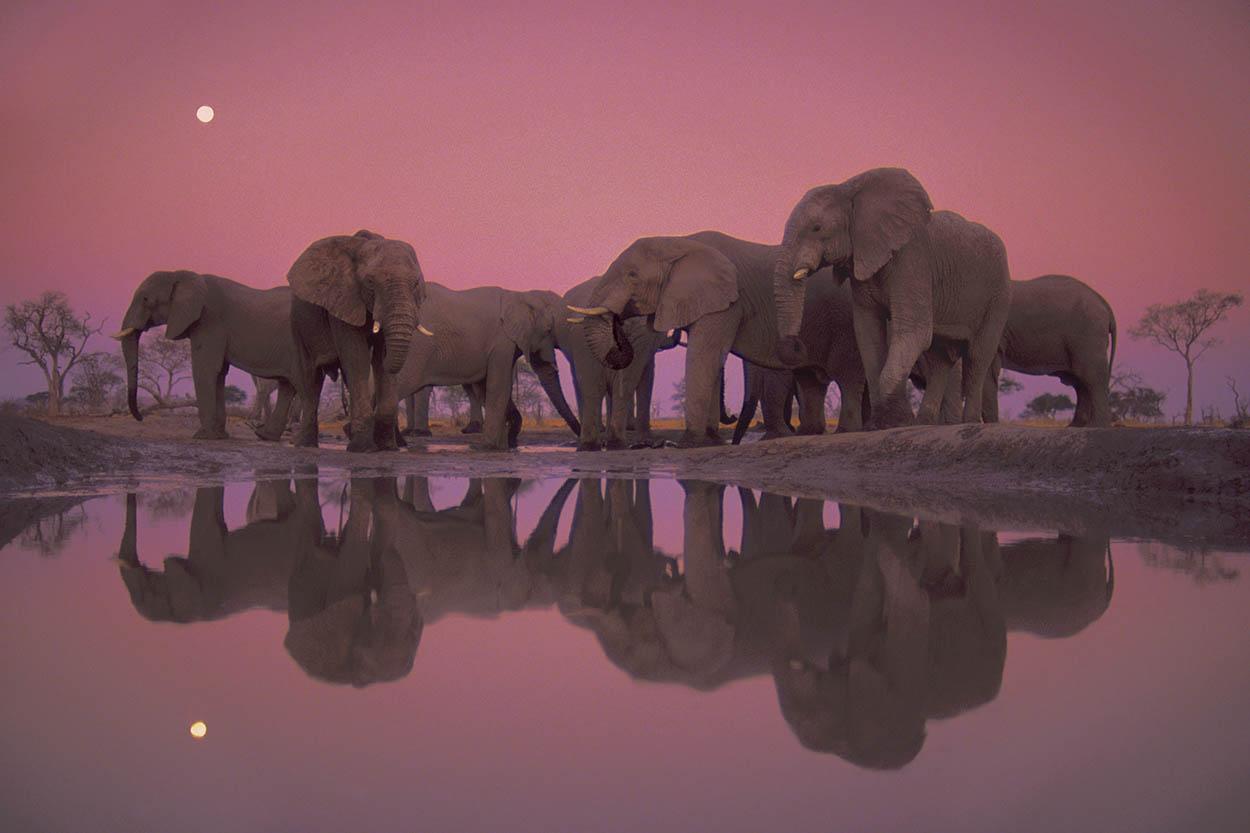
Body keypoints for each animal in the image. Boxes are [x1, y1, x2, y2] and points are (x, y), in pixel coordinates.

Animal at [286, 227, 432, 450]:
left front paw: (387, 447)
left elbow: (378, 361)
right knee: (311, 379)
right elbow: (357, 357)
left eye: (416, 283)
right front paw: (363, 449)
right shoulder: (342, 300)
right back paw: (306, 445)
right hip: (299, 325)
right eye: (370, 283)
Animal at [392, 282, 577, 450]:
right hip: (419, 348)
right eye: (549, 329)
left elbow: (487, 387)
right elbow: (497, 386)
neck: (520, 295)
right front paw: (490, 447)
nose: (575, 443)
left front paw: (505, 444)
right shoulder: (501, 342)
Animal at [572, 230, 855, 445]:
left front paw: (689, 443)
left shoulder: (727, 302)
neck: (679, 241)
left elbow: (704, 355)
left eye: (632, 275)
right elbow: (712, 359)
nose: (618, 321)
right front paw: (710, 439)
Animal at [770, 166, 1015, 425]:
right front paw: (882, 423)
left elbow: (913, 331)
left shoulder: (911, 259)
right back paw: (925, 422)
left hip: (999, 294)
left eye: (817, 228)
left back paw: (967, 421)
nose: (796, 344)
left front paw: (898, 421)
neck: (849, 189)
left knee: (978, 355)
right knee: (939, 359)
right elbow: (867, 333)